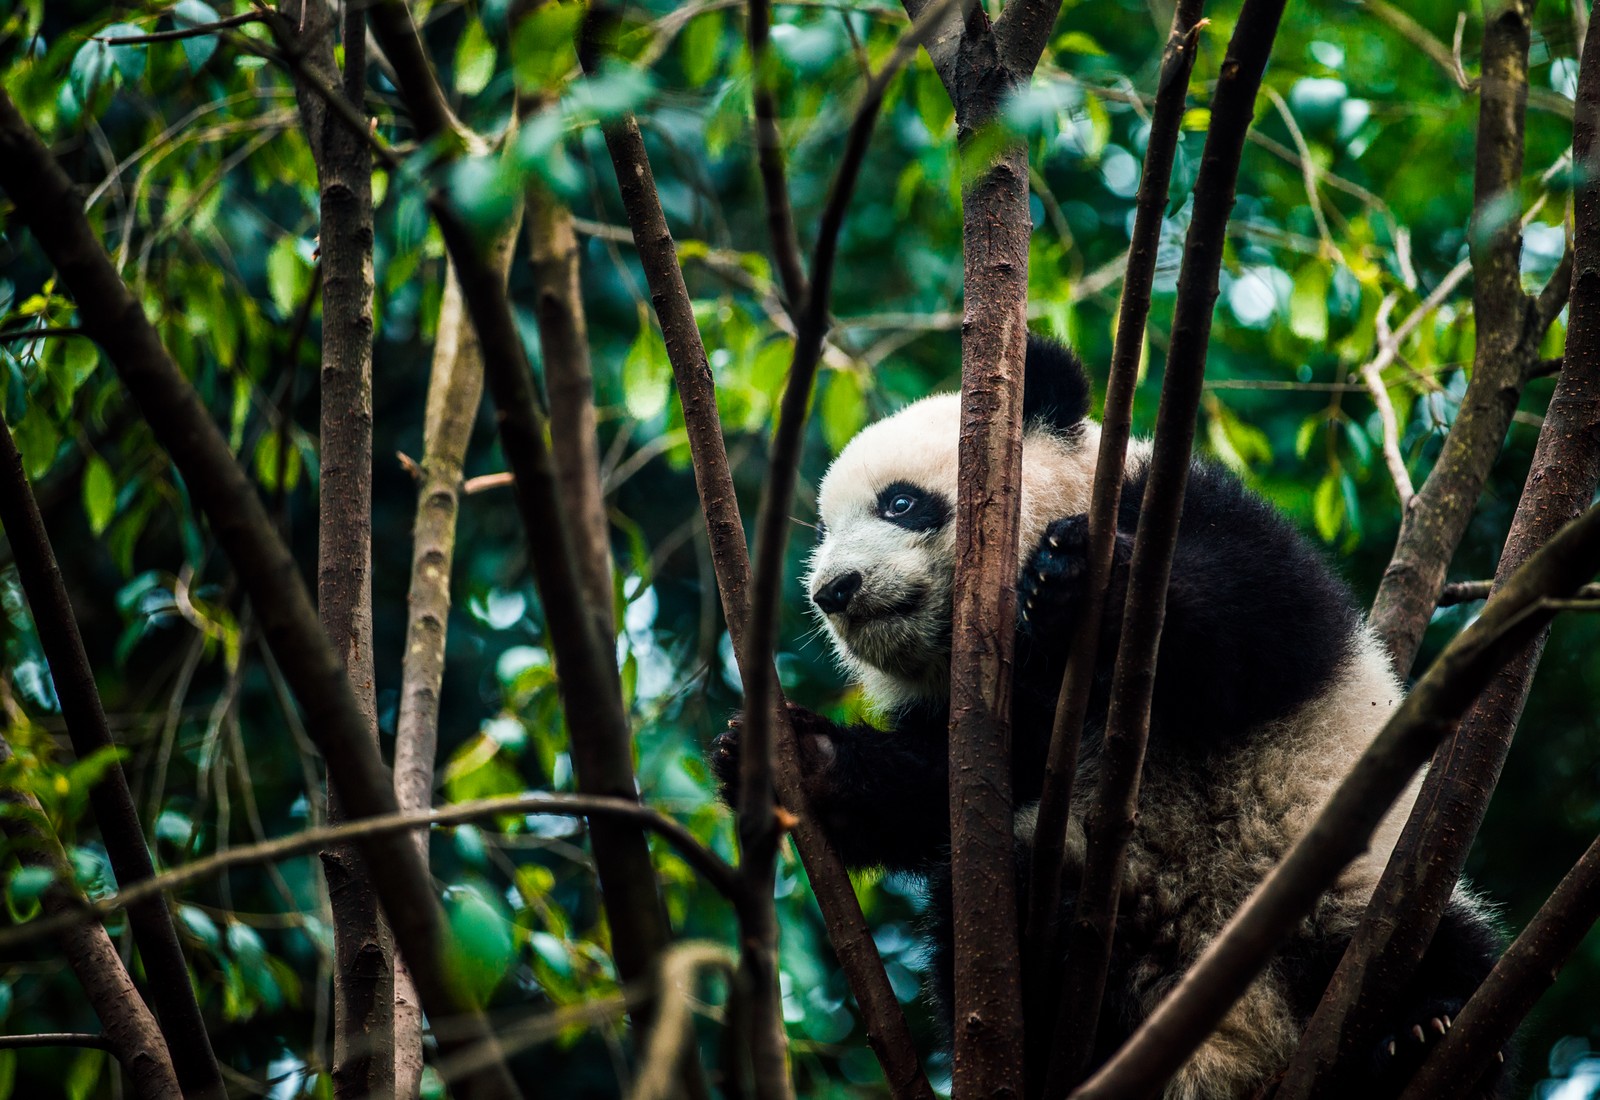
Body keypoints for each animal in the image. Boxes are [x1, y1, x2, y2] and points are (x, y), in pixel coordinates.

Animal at [713, 337, 1510, 1100]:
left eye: (901, 504)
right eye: (823, 527)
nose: (833, 589)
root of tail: (1243, 1046)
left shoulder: (1187, 509)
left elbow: (1251, 628)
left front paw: (1081, 583)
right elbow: (935, 790)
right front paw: (800, 758)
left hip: (1348, 895)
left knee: (1441, 947)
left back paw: (1420, 1036)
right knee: (1000, 897)